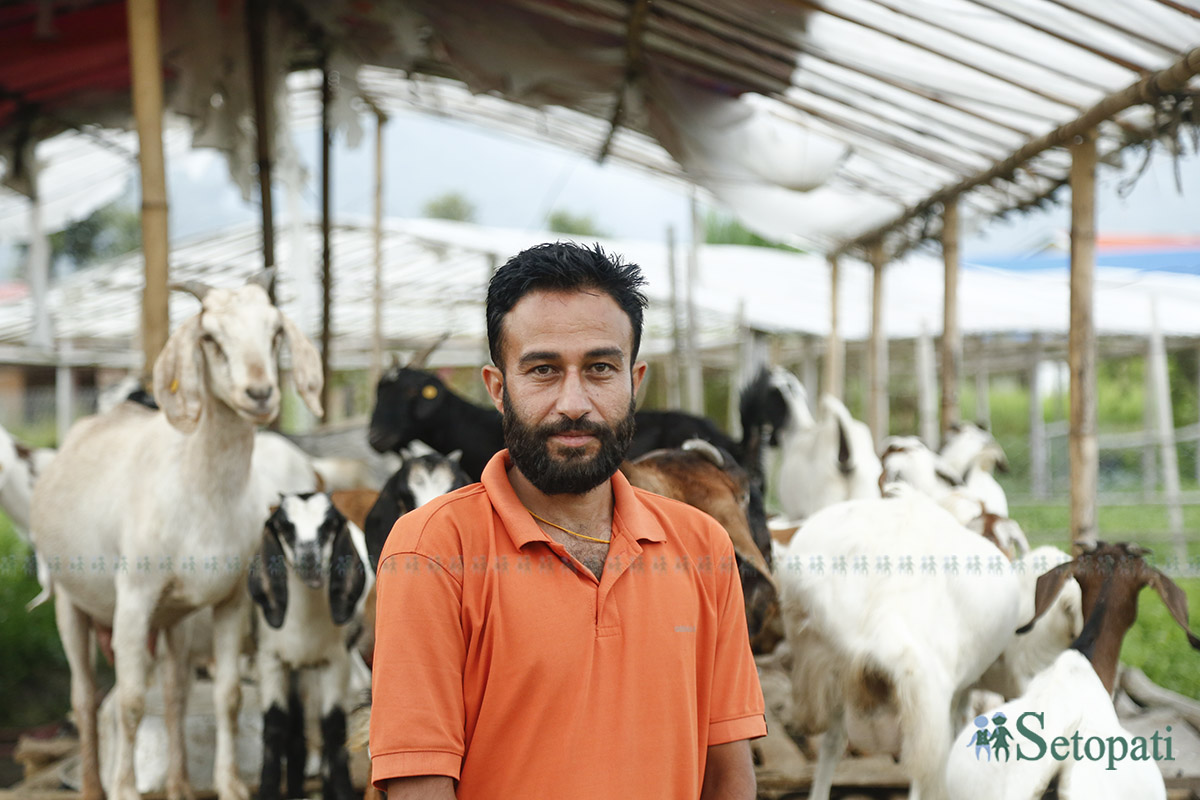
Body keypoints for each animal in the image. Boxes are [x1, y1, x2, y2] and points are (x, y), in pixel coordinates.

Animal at [31, 277, 324, 800]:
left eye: (275, 333)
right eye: (210, 337)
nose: (260, 392)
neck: (198, 487)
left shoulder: (230, 600)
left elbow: (228, 696)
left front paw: (229, 784)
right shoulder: (134, 598)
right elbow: (129, 701)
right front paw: (126, 789)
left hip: (175, 618)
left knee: (175, 694)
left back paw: (181, 783)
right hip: (72, 601)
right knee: (85, 698)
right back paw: (93, 785)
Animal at [248, 491, 369, 800]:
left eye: (329, 525)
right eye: (284, 527)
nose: (309, 561)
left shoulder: (335, 660)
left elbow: (333, 726)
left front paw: (342, 791)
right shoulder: (271, 659)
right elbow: (275, 725)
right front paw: (268, 790)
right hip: (296, 670)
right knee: (295, 725)